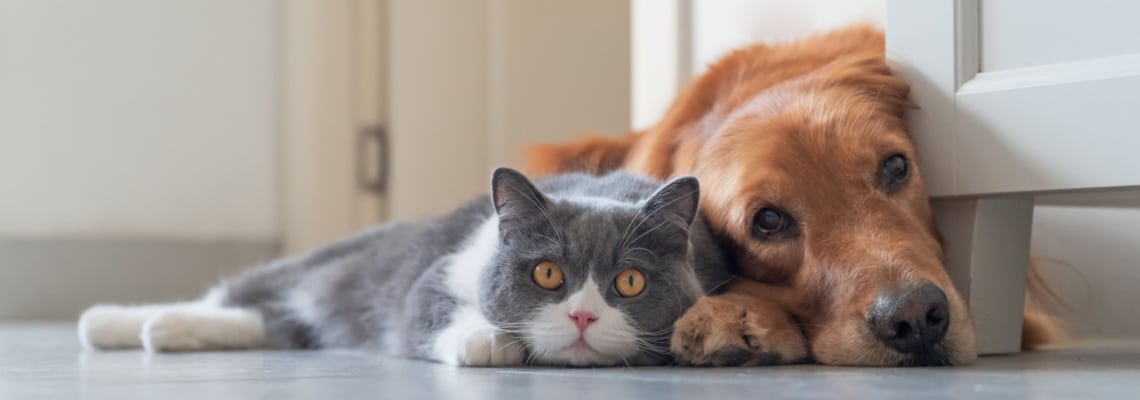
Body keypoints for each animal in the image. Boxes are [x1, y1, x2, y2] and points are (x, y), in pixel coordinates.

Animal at [82, 167, 738, 369]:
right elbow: (427, 306)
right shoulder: (439, 272)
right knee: (242, 293)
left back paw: (164, 330)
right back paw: (111, 322)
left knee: (270, 323)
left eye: (629, 281)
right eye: (548, 274)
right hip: (324, 266)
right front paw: (487, 341)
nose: (581, 316)